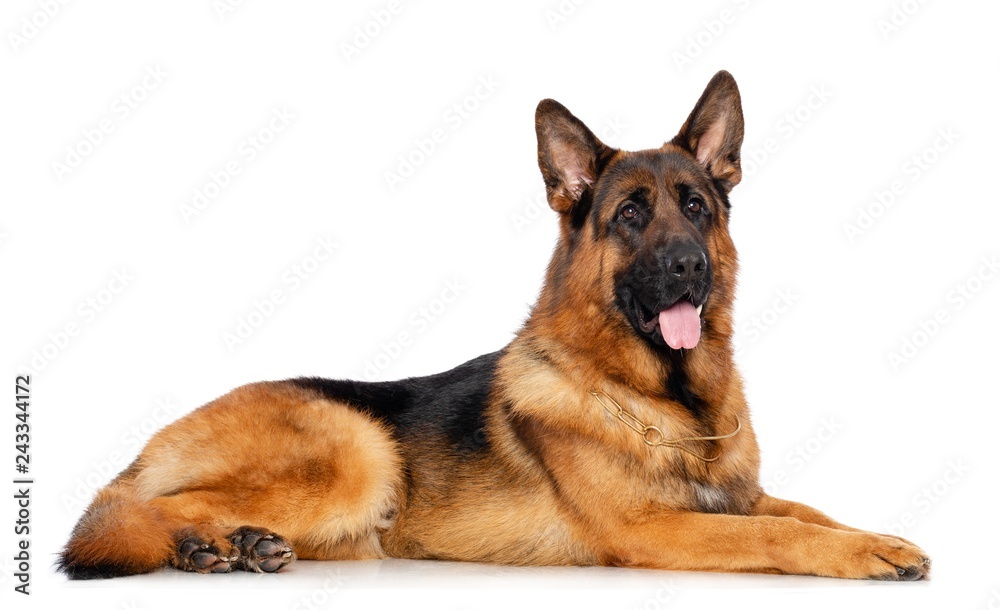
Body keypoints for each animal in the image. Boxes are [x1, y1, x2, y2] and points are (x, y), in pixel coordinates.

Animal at [56, 71, 928, 580]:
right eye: (630, 215)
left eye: (695, 207)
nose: (688, 267)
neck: (670, 400)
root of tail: (148, 447)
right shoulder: (653, 530)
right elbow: (773, 535)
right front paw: (861, 552)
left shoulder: (738, 497)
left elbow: (803, 511)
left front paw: (872, 532)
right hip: (359, 450)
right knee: (136, 510)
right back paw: (201, 546)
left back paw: (237, 545)